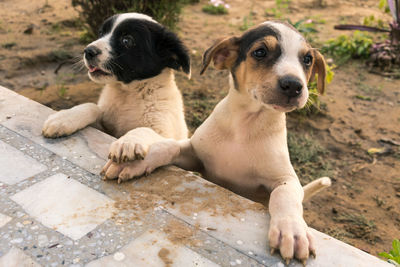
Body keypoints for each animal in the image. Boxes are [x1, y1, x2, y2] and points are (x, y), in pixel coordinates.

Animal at [42, 12, 191, 148]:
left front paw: (129, 142)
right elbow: (93, 107)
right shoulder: (106, 128)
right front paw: (63, 118)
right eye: (101, 33)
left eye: (127, 40)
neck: (128, 93)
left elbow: (145, 130)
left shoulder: (167, 135)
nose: (88, 51)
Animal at [101, 22, 330, 264]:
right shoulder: (194, 154)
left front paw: (292, 230)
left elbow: (284, 196)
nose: (294, 85)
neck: (244, 127)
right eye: (260, 52)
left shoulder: (285, 178)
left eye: (307, 59)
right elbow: (169, 146)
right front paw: (135, 162)